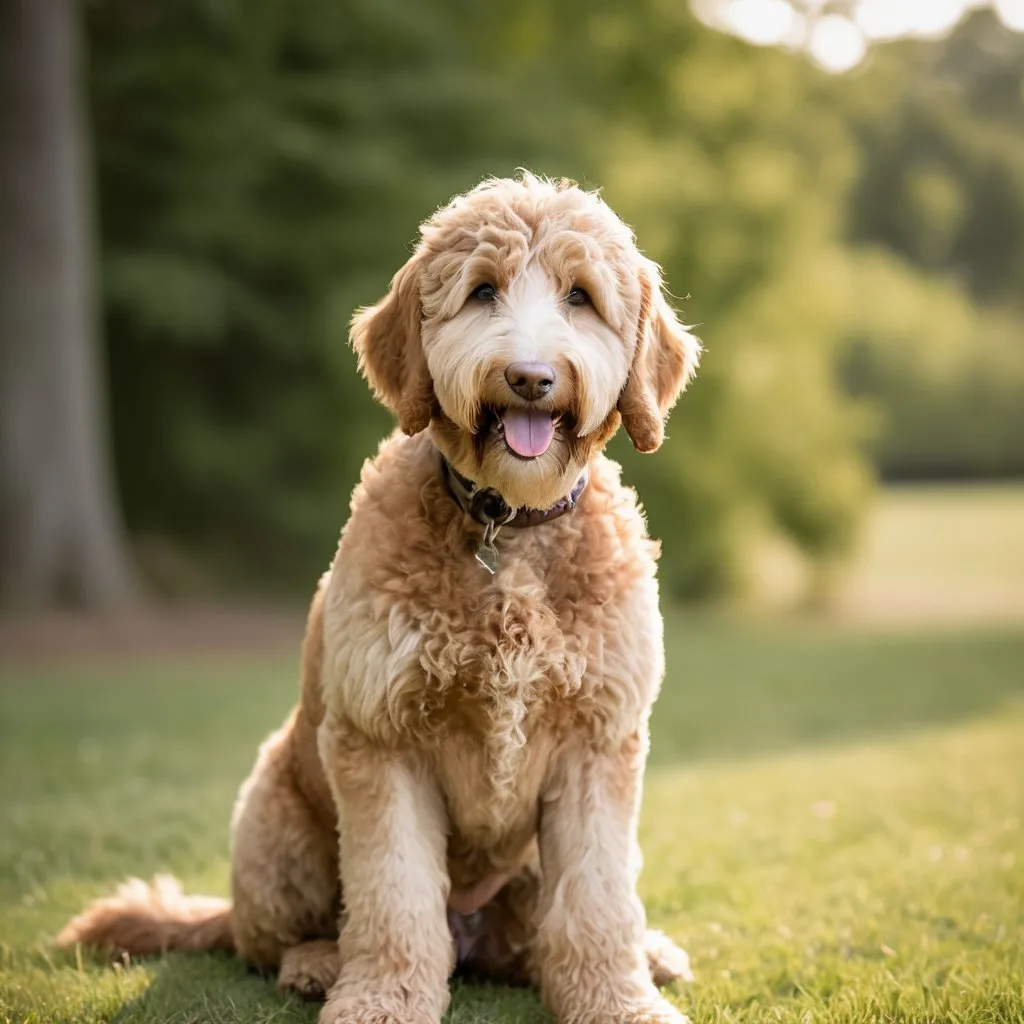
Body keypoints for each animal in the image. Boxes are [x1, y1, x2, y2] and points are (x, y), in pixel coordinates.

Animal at [59, 174, 704, 1024]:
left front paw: (619, 1002)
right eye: (483, 291)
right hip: (273, 821)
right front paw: (382, 1001)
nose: (530, 376)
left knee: (538, 938)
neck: (508, 528)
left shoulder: (598, 744)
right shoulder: (380, 738)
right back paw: (315, 964)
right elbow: (393, 897)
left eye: (581, 297)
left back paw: (644, 954)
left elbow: (597, 900)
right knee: (269, 941)